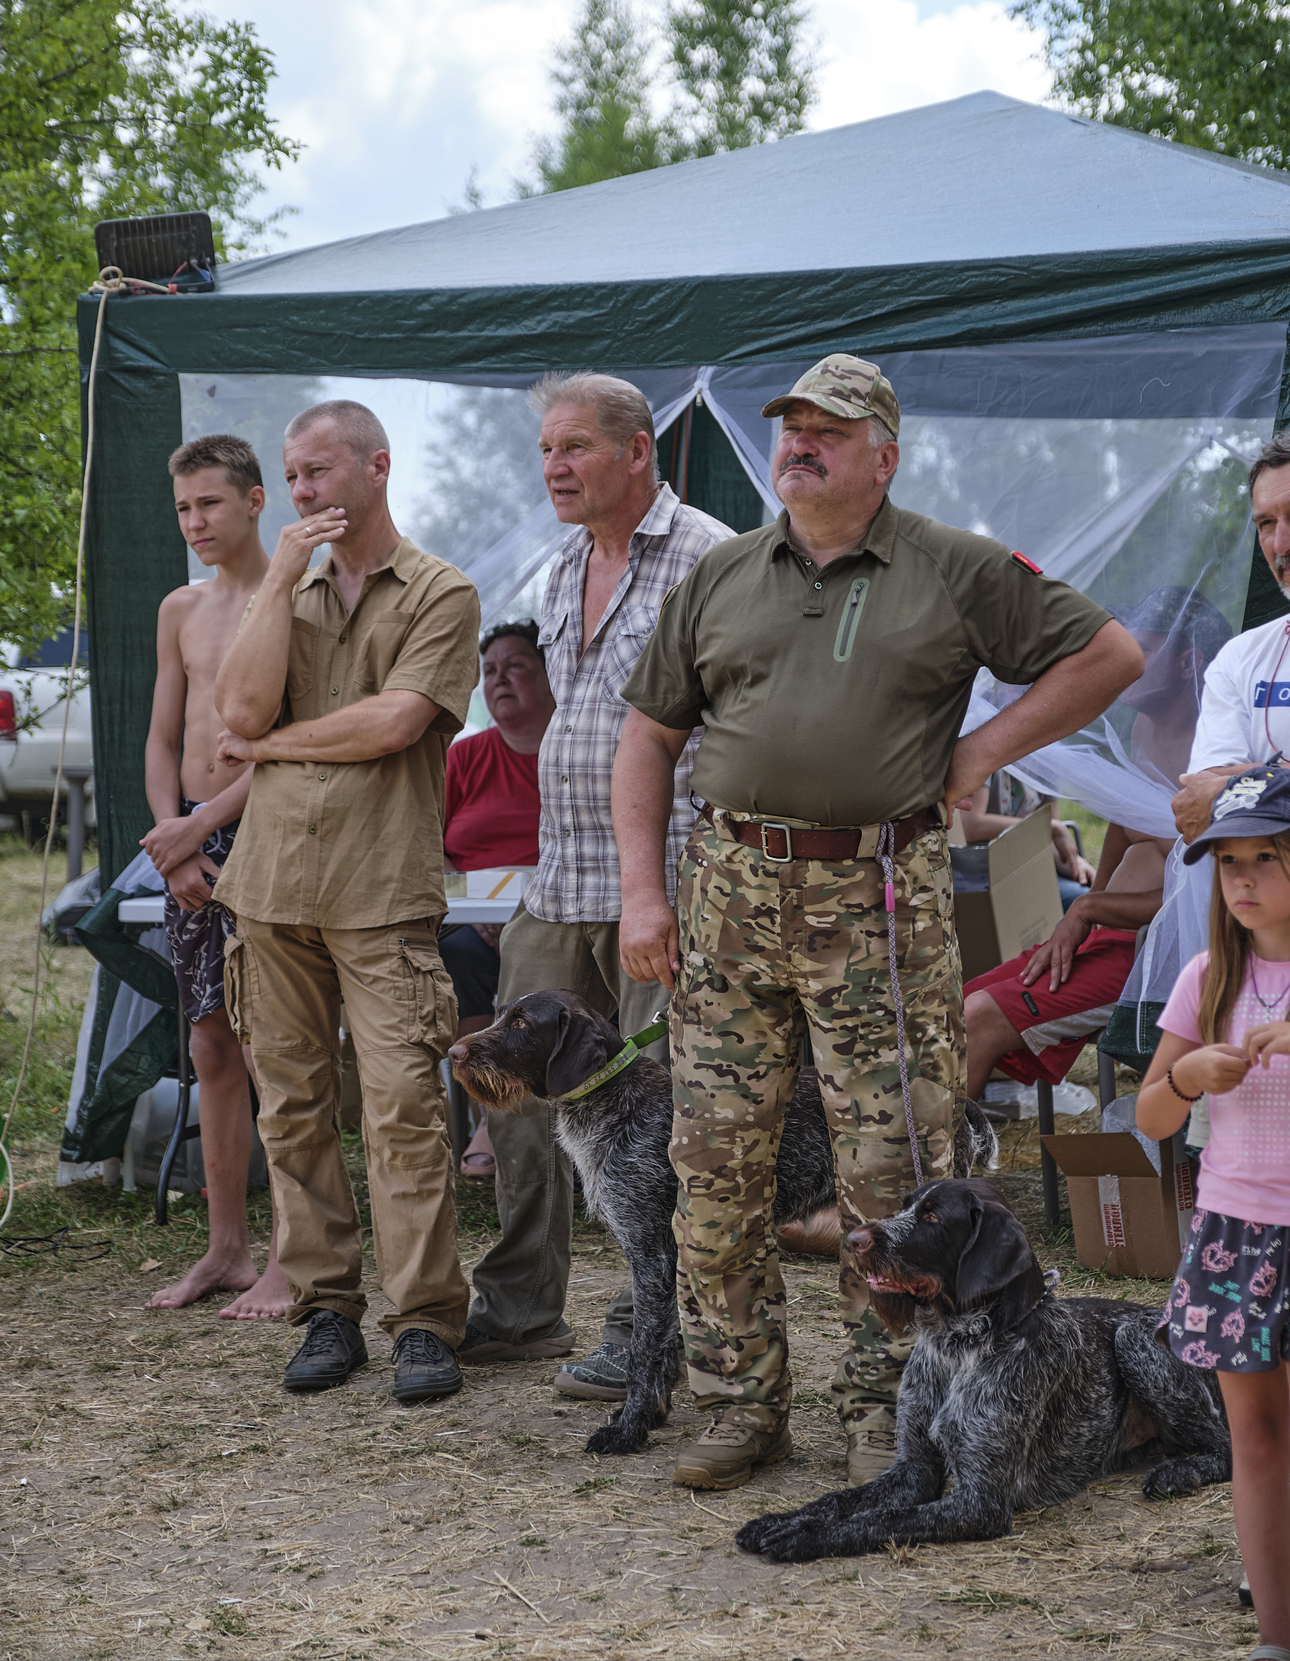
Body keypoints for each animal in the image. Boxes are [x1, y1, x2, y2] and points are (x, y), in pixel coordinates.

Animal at [444, 983, 996, 1455]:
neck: (612, 1102)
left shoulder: (651, 1252)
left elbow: (644, 1349)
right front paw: (653, 1415)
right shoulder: (670, 1254)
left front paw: (628, 1429)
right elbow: (664, 1345)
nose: (453, 1053)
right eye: (500, 1014)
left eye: (521, 1024)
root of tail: (957, 1102)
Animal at [733, 1175, 1228, 1561]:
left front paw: (802, 1535)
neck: (958, 1343)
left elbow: (881, 1519)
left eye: (932, 1218)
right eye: (906, 1205)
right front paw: (783, 1518)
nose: (854, 1241)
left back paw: (1177, 1473)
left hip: (1134, 1339)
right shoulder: (914, 1470)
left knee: (1226, 1447)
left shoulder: (979, 1502)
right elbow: (841, 1500)